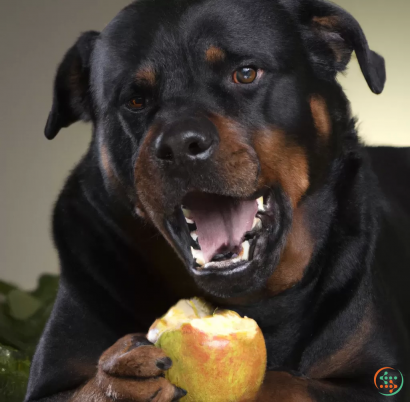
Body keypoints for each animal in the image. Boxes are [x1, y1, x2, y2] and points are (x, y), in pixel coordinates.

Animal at [25, 0, 410, 400]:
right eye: (135, 100)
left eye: (246, 74)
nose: (180, 145)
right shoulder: (51, 380)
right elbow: (85, 387)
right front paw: (119, 377)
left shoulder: (375, 378)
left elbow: (286, 381)